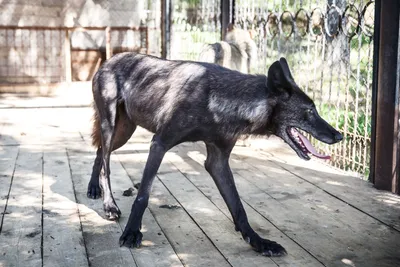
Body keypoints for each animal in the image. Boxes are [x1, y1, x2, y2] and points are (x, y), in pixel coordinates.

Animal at [89, 52, 342, 258]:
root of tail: (109, 60)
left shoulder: (218, 161)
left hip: (125, 131)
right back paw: (109, 205)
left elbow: (238, 208)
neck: (217, 101)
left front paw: (259, 243)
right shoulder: (159, 144)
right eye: (309, 111)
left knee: (100, 151)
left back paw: (93, 189)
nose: (339, 135)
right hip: (112, 124)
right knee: (106, 162)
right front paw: (132, 232)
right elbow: (143, 195)